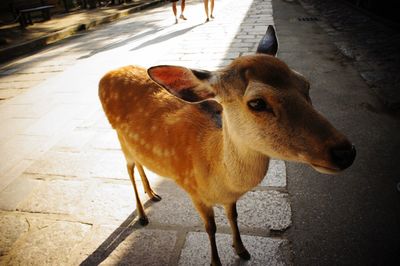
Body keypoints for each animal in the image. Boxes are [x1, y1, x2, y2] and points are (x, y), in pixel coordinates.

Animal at [99, 25, 356, 266]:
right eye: (257, 102)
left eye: (306, 84)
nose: (345, 152)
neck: (218, 176)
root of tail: (106, 75)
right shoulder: (194, 191)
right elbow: (210, 228)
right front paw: (216, 261)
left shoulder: (229, 198)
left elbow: (234, 216)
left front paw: (242, 249)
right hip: (119, 138)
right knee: (129, 169)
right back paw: (142, 216)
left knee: (140, 163)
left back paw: (152, 194)